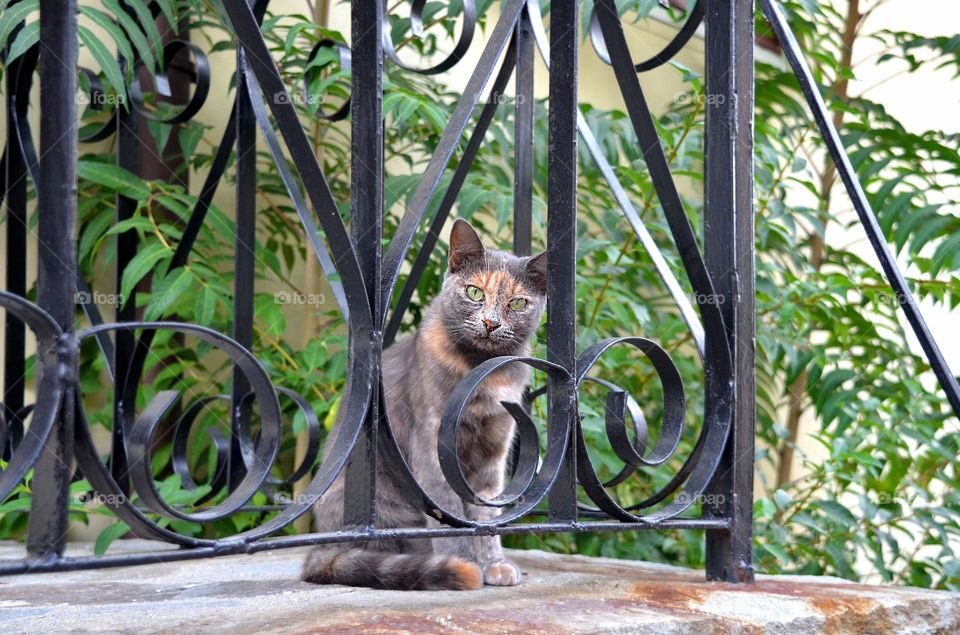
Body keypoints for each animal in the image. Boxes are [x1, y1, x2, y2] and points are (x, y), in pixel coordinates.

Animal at [304, 221, 552, 592]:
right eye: (475, 293)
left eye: (518, 302)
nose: (490, 323)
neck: (481, 373)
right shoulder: (432, 447)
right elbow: (449, 511)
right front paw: (465, 564)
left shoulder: (494, 450)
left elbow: (487, 513)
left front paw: (494, 563)